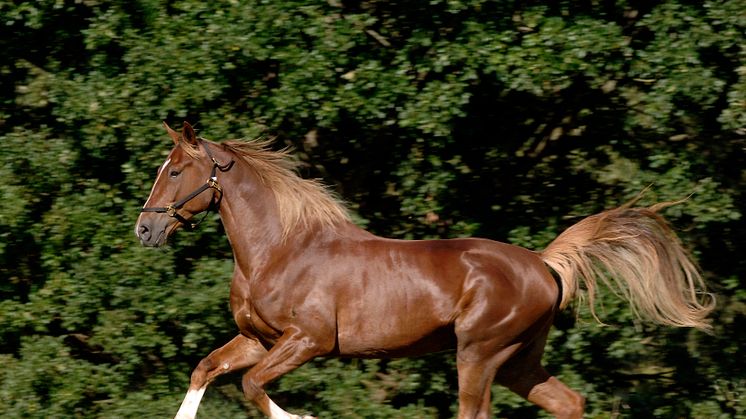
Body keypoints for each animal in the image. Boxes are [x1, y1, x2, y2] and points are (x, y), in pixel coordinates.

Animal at [137, 122, 712, 419]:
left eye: (177, 170)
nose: (145, 229)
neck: (281, 250)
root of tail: (543, 265)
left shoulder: (309, 340)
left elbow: (253, 386)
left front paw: (301, 416)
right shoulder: (259, 339)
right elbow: (206, 370)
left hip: (479, 352)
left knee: (476, 413)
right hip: (517, 360)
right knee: (569, 403)